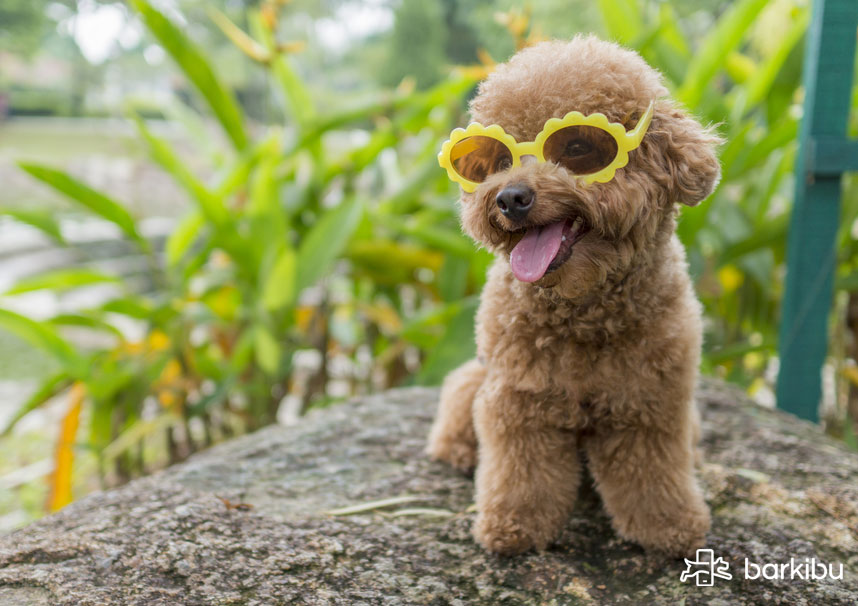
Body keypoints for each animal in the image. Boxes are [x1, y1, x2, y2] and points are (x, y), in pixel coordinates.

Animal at [426, 36, 716, 560]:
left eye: (579, 148)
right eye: (497, 161)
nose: (510, 198)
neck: (585, 309)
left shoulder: (652, 403)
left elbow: (654, 473)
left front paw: (668, 526)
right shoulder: (518, 401)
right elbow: (521, 473)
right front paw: (514, 525)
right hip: (478, 379)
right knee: (459, 393)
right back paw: (456, 450)